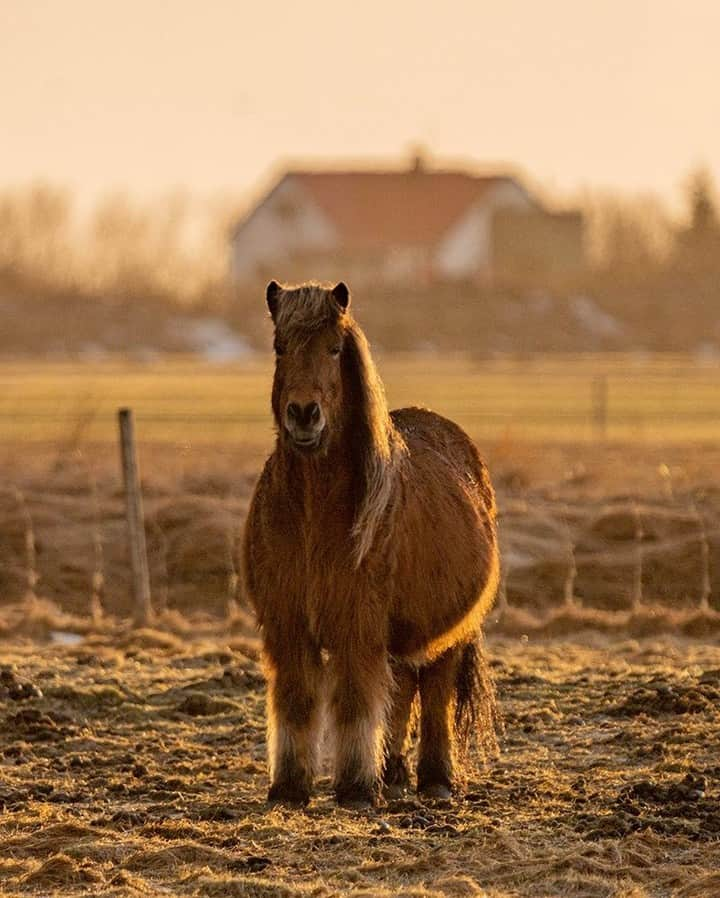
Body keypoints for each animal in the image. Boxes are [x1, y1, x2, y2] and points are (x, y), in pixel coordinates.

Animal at [243, 278, 500, 804]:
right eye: (280, 347)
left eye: (334, 348)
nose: (304, 414)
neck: (313, 516)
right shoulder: (287, 623)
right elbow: (296, 701)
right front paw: (290, 785)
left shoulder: (356, 623)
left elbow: (355, 701)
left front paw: (356, 786)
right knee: (401, 688)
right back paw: (394, 772)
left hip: (447, 634)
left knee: (434, 691)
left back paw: (436, 779)